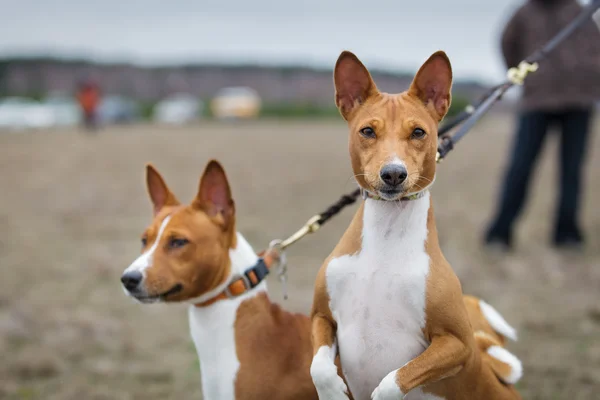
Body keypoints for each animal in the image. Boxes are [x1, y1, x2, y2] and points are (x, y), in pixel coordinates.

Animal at [308, 50, 524, 400]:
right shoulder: (321, 316)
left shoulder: (458, 342)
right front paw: (333, 393)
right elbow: (320, 369)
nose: (393, 174)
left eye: (418, 132)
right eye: (367, 131)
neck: (385, 240)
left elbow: (395, 380)